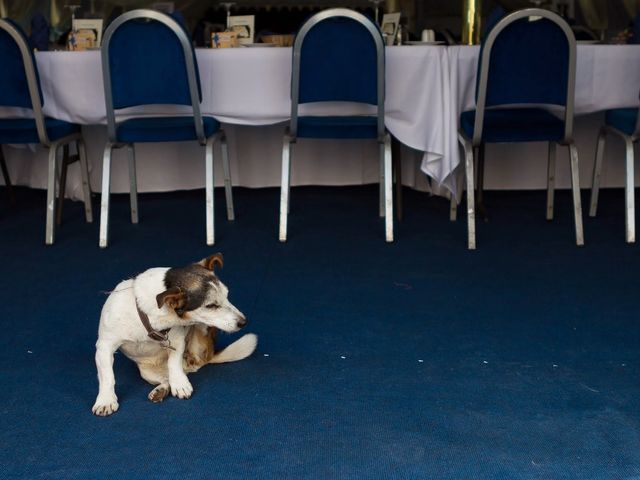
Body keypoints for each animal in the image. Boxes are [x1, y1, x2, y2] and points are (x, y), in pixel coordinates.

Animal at [92, 251, 258, 416]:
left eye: (227, 295)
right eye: (211, 306)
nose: (244, 322)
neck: (149, 318)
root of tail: (207, 358)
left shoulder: (177, 341)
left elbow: (174, 363)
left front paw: (180, 384)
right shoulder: (104, 348)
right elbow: (108, 377)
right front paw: (106, 400)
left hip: (200, 332)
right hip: (146, 372)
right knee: (165, 379)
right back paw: (161, 390)